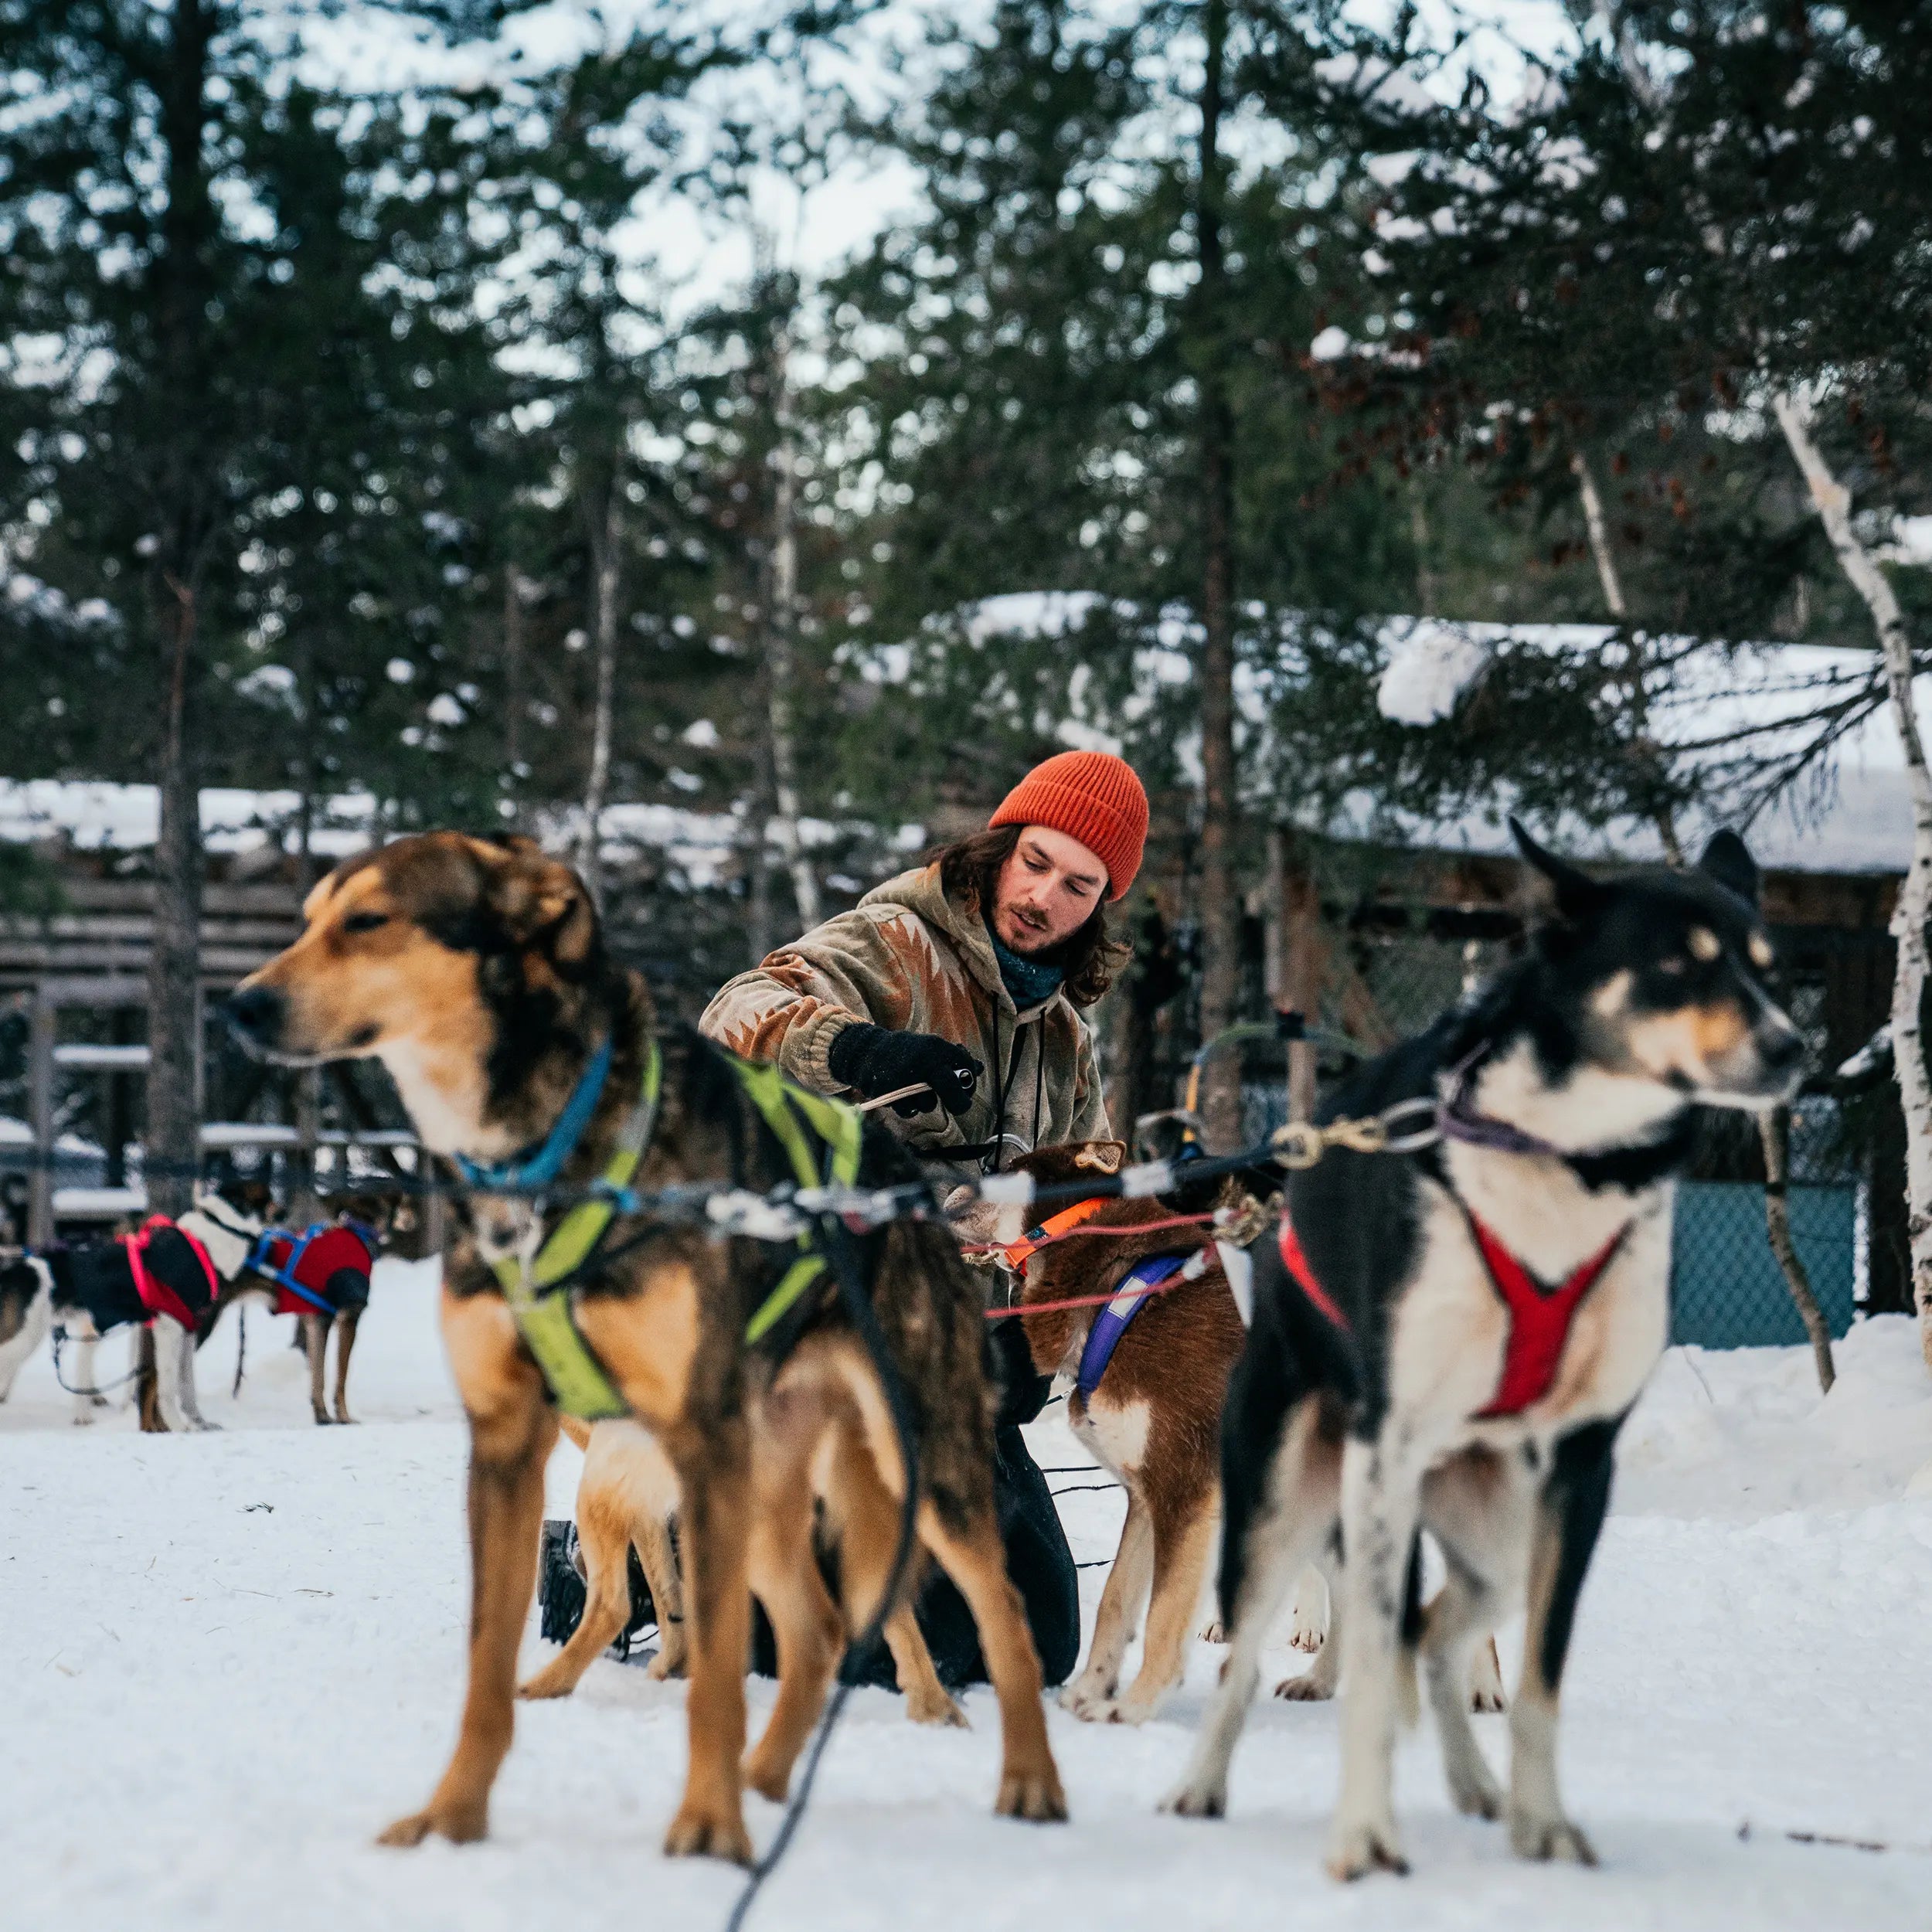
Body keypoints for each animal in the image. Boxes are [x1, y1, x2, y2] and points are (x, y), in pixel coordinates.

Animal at [0, 1182, 264, 1430]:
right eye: (270, 1200)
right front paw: (179, 1427)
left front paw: (200, 1424)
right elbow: (168, 1388)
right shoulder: (168, 1329)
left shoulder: (188, 1331)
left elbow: (187, 1386)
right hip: (24, 1340)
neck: (207, 1243)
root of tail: (16, 1270)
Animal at [232, 831, 1066, 1855]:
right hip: (768, 1491)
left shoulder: (696, 1449)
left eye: (371, 919)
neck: (544, 1164)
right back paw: (767, 1775)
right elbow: (490, 1662)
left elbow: (706, 1663)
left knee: (994, 1618)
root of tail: (899, 1185)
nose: (243, 1004)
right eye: (310, 916)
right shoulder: (506, 1446)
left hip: (915, 1465)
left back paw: (1023, 1780)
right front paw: (452, 1816)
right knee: (818, 1629)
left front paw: (704, 1829)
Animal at [1159, 827, 1808, 1870]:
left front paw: (1541, 1823)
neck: (1566, 1165)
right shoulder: (1382, 1454)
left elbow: (1536, 1682)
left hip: (1497, 1532)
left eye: (1767, 968)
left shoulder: (1579, 1467)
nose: (1793, 1045)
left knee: (1433, 1632)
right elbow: (1361, 1654)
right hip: (1299, 1485)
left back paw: (1472, 1770)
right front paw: (1365, 1836)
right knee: (1262, 1649)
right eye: (1676, 964)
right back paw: (1201, 1783)